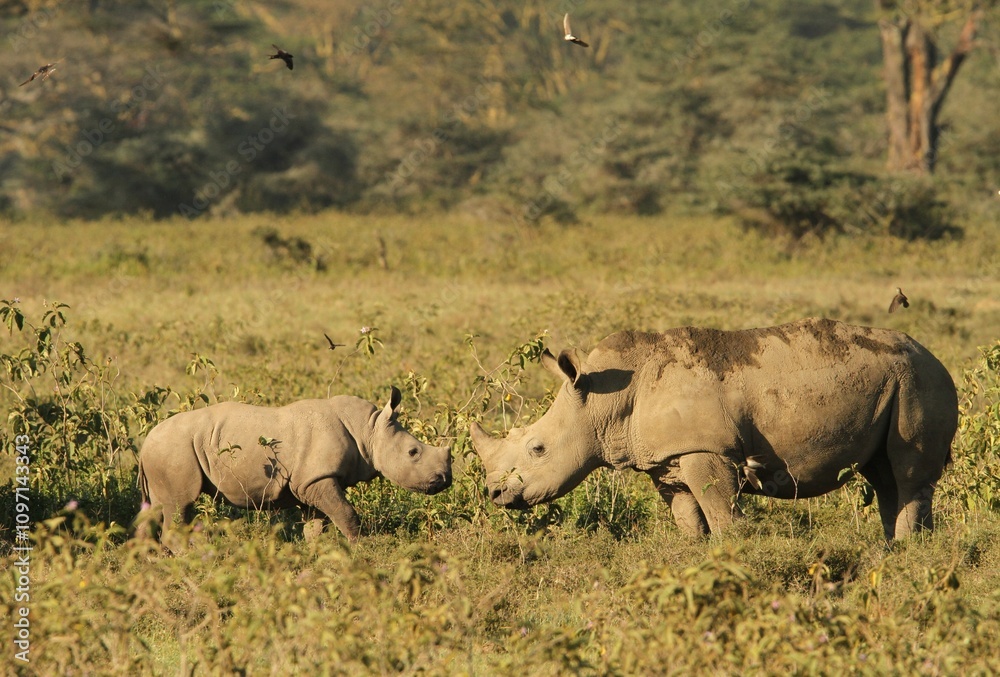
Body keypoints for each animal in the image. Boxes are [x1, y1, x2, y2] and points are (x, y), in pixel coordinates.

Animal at [135, 387, 451, 542]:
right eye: (413, 452)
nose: (444, 480)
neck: (368, 429)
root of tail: (145, 442)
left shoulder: (310, 481)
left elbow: (317, 524)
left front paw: (316, 553)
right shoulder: (316, 478)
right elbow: (346, 513)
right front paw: (363, 547)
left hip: (166, 451)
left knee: (156, 507)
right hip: (175, 450)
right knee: (180, 504)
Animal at [471, 319, 958, 541]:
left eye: (537, 449)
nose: (494, 494)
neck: (604, 402)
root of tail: (938, 358)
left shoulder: (705, 449)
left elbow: (721, 512)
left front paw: (733, 557)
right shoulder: (667, 459)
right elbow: (688, 516)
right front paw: (694, 556)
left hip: (919, 380)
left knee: (907, 473)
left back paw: (908, 550)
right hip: (897, 381)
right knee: (883, 474)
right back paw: (894, 551)